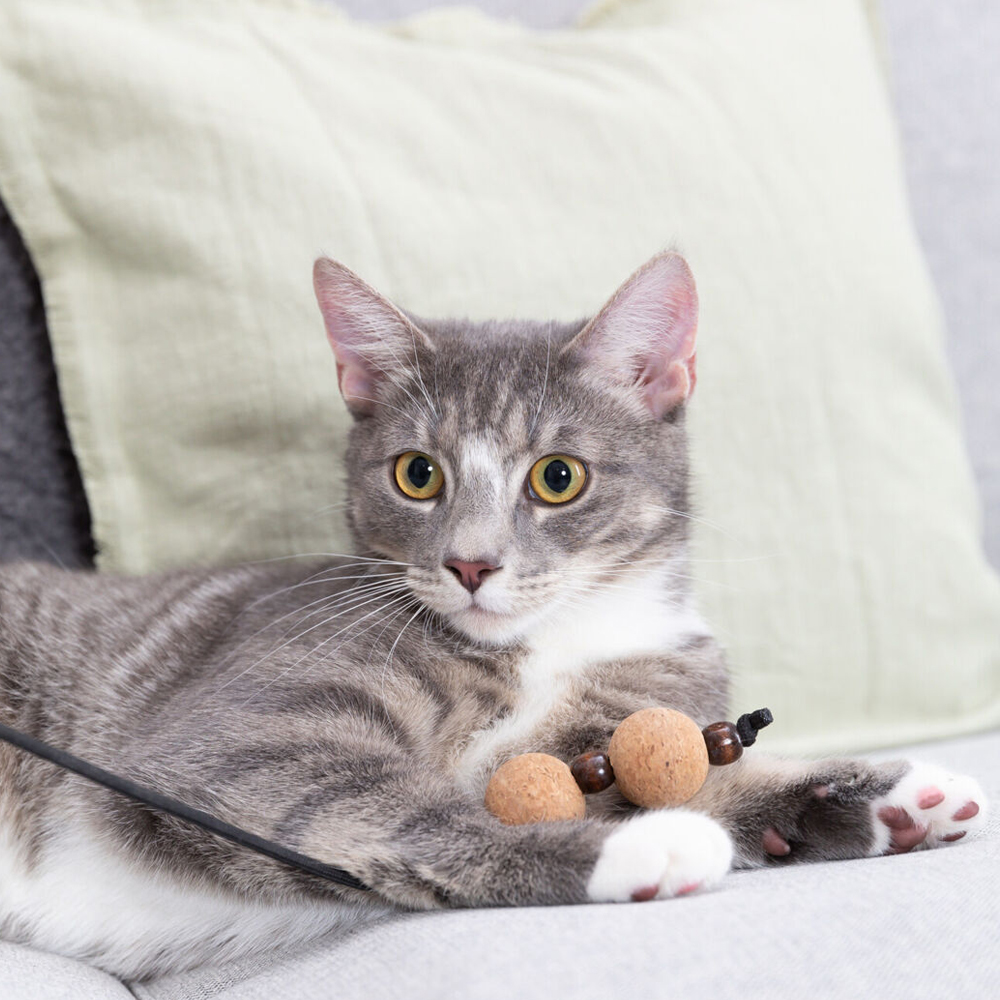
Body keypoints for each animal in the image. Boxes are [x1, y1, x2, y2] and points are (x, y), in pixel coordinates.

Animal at [0, 250, 988, 976]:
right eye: (417, 473)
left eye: (558, 477)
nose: (471, 563)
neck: (547, 644)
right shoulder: (233, 742)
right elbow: (401, 807)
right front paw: (642, 846)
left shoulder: (640, 699)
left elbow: (693, 771)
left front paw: (876, 797)